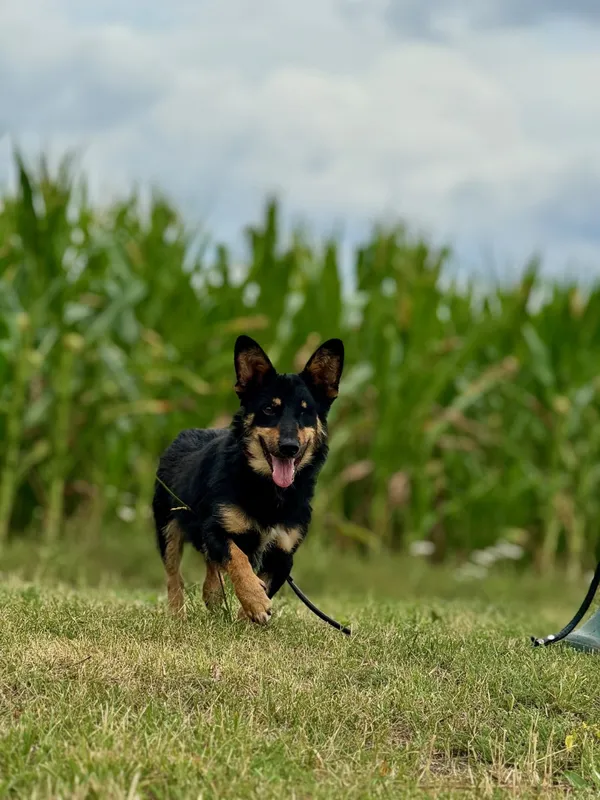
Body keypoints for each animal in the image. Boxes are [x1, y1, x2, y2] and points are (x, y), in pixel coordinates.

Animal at [152, 334, 344, 620]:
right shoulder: (216, 529)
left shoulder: (283, 555)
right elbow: (238, 559)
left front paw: (250, 612)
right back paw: (178, 613)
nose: (289, 447)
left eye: (305, 411)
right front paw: (255, 600)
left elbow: (261, 582)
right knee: (174, 575)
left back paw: (213, 595)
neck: (268, 490)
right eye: (269, 409)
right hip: (168, 526)